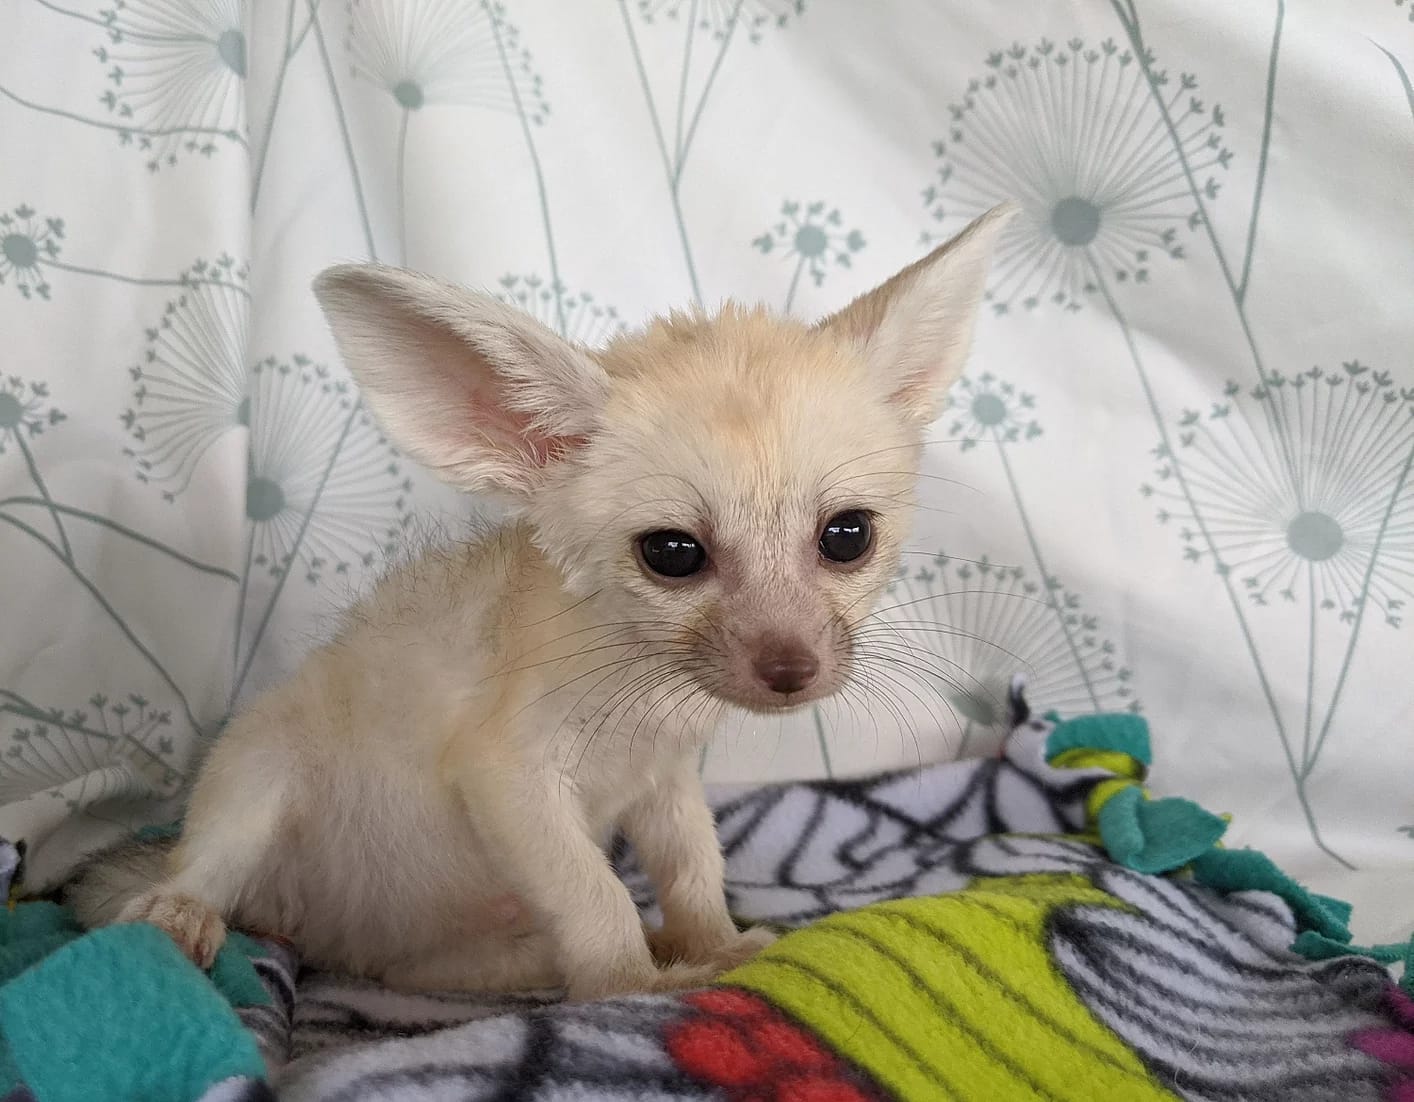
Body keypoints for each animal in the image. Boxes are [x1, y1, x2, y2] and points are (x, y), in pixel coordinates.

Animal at [64, 203, 1016, 1000]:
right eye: (673, 554)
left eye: (846, 537)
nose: (792, 671)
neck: (643, 697)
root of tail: (318, 931)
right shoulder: (509, 776)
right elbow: (597, 895)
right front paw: (636, 985)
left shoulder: (664, 779)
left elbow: (693, 869)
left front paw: (712, 947)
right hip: (257, 772)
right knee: (185, 875)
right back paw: (179, 913)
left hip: (437, 953)